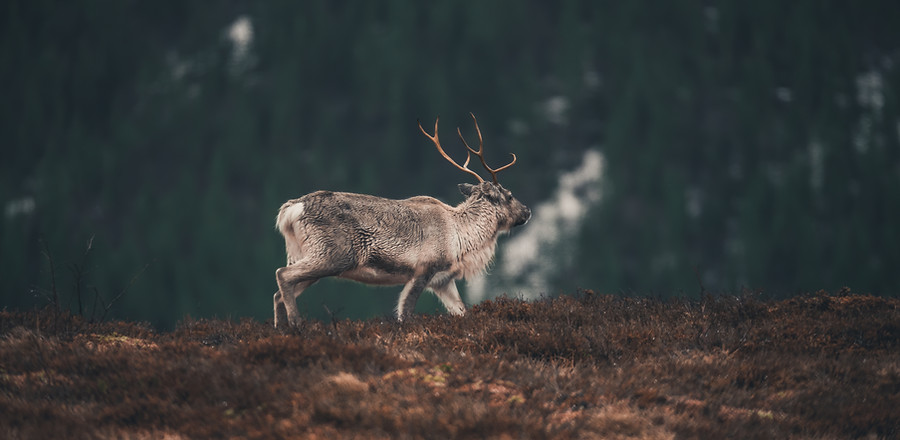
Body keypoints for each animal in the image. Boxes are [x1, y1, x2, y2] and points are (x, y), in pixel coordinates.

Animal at [273, 113, 531, 328]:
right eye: (509, 195)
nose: (527, 211)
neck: (462, 238)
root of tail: (290, 209)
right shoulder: (423, 269)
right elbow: (405, 313)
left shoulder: (442, 281)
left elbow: (461, 311)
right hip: (332, 255)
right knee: (282, 274)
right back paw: (296, 325)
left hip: (304, 254)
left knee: (278, 292)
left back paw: (283, 329)